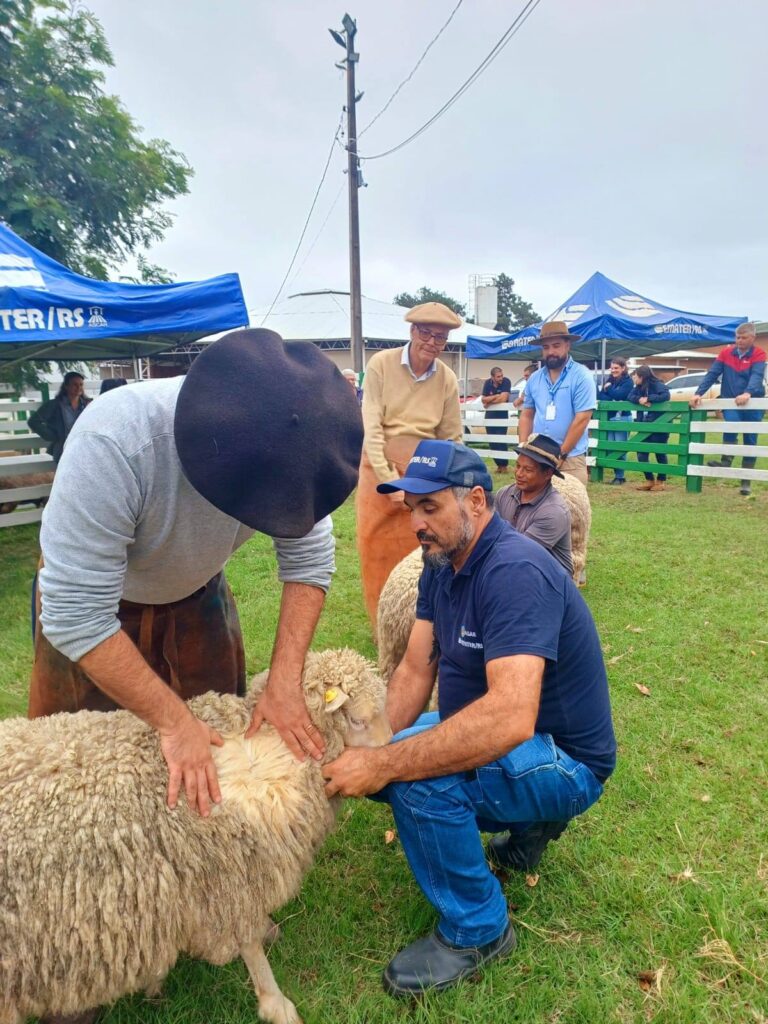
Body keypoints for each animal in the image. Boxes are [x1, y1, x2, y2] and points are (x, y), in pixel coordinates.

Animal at [0, 648, 390, 1024]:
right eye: (358, 720)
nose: (393, 746)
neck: (264, 756)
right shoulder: (228, 881)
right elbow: (250, 946)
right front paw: (277, 1005)